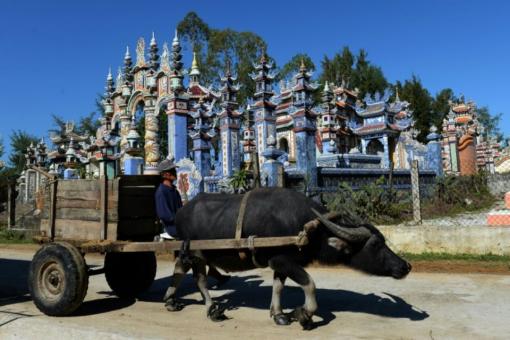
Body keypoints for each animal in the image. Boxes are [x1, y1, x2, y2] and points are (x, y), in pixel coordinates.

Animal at [163, 187, 410, 328]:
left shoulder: (280, 264)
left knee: (184, 271)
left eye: (383, 240)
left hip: (193, 253)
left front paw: (279, 315)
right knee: (195, 277)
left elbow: (278, 287)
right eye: (376, 244)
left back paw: (179, 301)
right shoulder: (283, 261)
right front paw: (303, 314)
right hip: (195, 252)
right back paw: (206, 307)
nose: (405, 266)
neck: (309, 229)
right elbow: (309, 284)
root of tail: (181, 211)